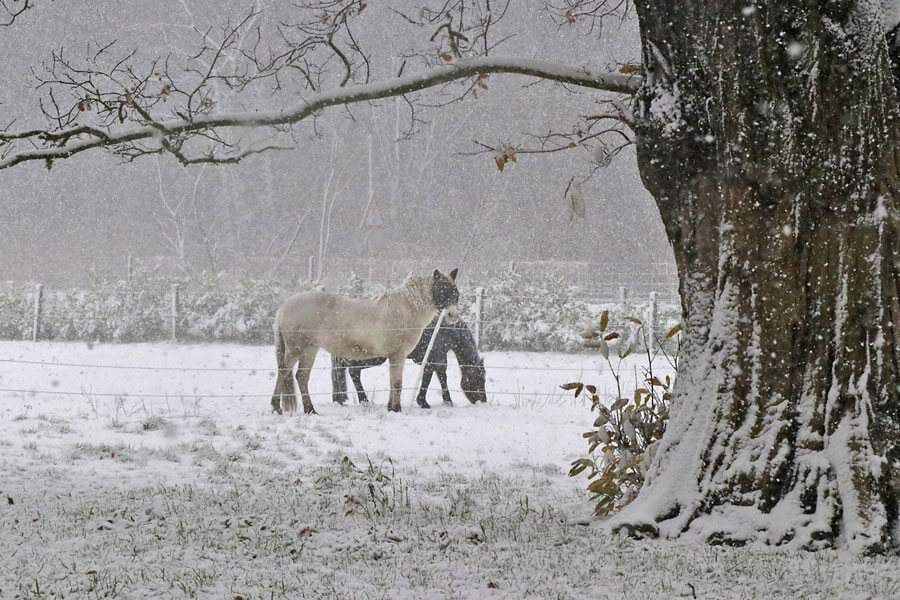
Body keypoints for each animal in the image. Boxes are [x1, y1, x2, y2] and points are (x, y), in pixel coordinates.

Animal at [270, 270, 460, 414]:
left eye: (455, 292)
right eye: (442, 290)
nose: (454, 316)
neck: (405, 309)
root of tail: (283, 308)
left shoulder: (394, 357)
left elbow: (392, 382)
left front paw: (391, 408)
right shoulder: (397, 355)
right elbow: (397, 383)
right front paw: (396, 409)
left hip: (310, 350)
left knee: (301, 377)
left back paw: (310, 410)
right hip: (295, 349)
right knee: (284, 371)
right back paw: (276, 407)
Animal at [332, 314, 486, 408]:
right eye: (480, 379)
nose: (483, 401)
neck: (447, 330)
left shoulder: (435, 359)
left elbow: (439, 377)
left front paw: (444, 401)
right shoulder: (434, 359)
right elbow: (431, 379)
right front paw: (425, 402)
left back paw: (340, 398)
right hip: (372, 357)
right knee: (353, 371)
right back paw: (363, 400)